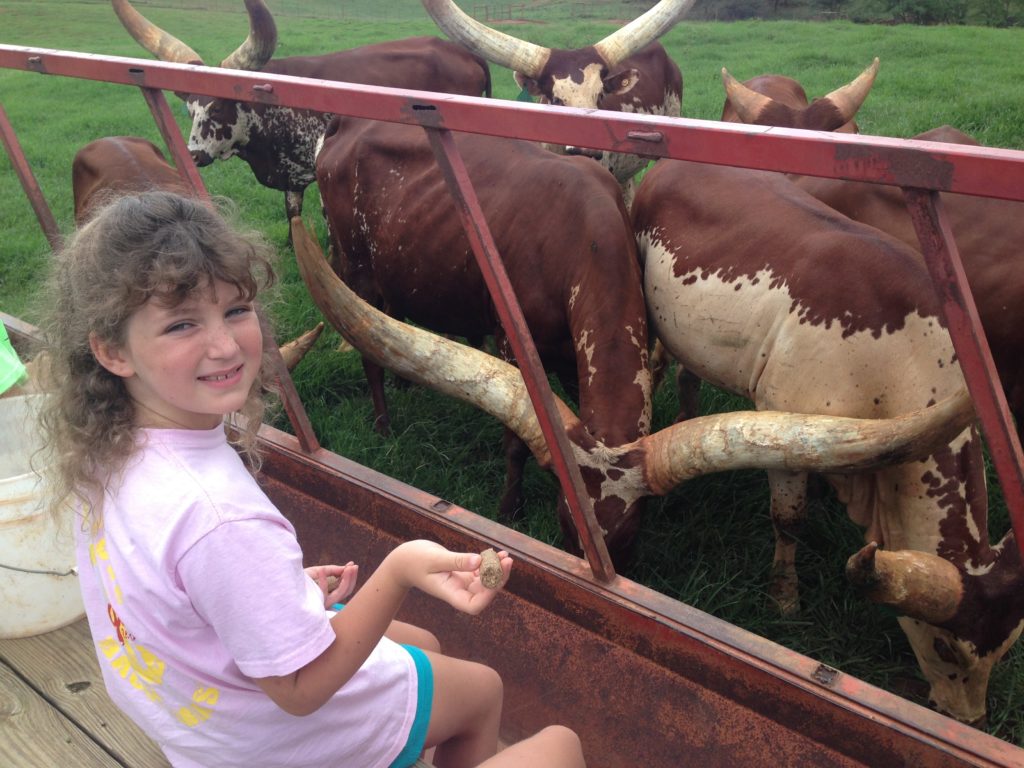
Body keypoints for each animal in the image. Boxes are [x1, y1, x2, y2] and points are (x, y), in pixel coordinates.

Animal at [309, 114, 655, 557]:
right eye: (566, 526)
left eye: (627, 537)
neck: (584, 235)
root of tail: (348, 122)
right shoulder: (512, 346)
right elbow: (517, 443)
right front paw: (510, 509)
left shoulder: (572, 359)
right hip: (356, 268)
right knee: (366, 349)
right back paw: (383, 426)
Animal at [630, 157, 1024, 729]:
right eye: (947, 648)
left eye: (1004, 650)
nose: (967, 718)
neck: (899, 360)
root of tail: (670, 165)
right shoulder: (783, 431)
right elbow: (788, 520)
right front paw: (785, 599)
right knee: (659, 367)